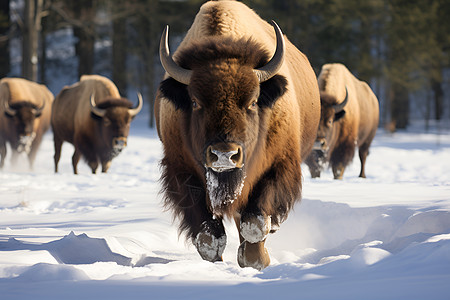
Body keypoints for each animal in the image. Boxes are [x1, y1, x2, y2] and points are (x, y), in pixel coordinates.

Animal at [154, 0, 320, 272]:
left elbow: (254, 224)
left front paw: (256, 261)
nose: (225, 154)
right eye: (195, 101)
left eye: (252, 102)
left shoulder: (276, 168)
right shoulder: (183, 174)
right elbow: (208, 237)